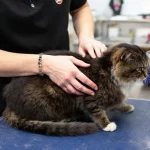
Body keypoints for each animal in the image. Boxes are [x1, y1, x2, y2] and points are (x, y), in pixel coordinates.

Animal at [2, 43, 150, 136]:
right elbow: (97, 112)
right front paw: (107, 125)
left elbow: (119, 103)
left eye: (147, 67)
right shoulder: (91, 97)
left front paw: (126, 106)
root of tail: (10, 106)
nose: (146, 75)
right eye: (140, 69)